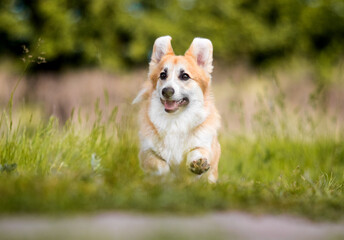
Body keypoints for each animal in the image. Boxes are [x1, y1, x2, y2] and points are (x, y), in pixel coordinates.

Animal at [132, 35, 220, 182]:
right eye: (162, 75)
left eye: (185, 76)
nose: (167, 91)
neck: (176, 120)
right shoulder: (146, 153)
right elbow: (161, 165)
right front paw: (168, 176)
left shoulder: (205, 146)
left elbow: (197, 152)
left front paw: (198, 164)